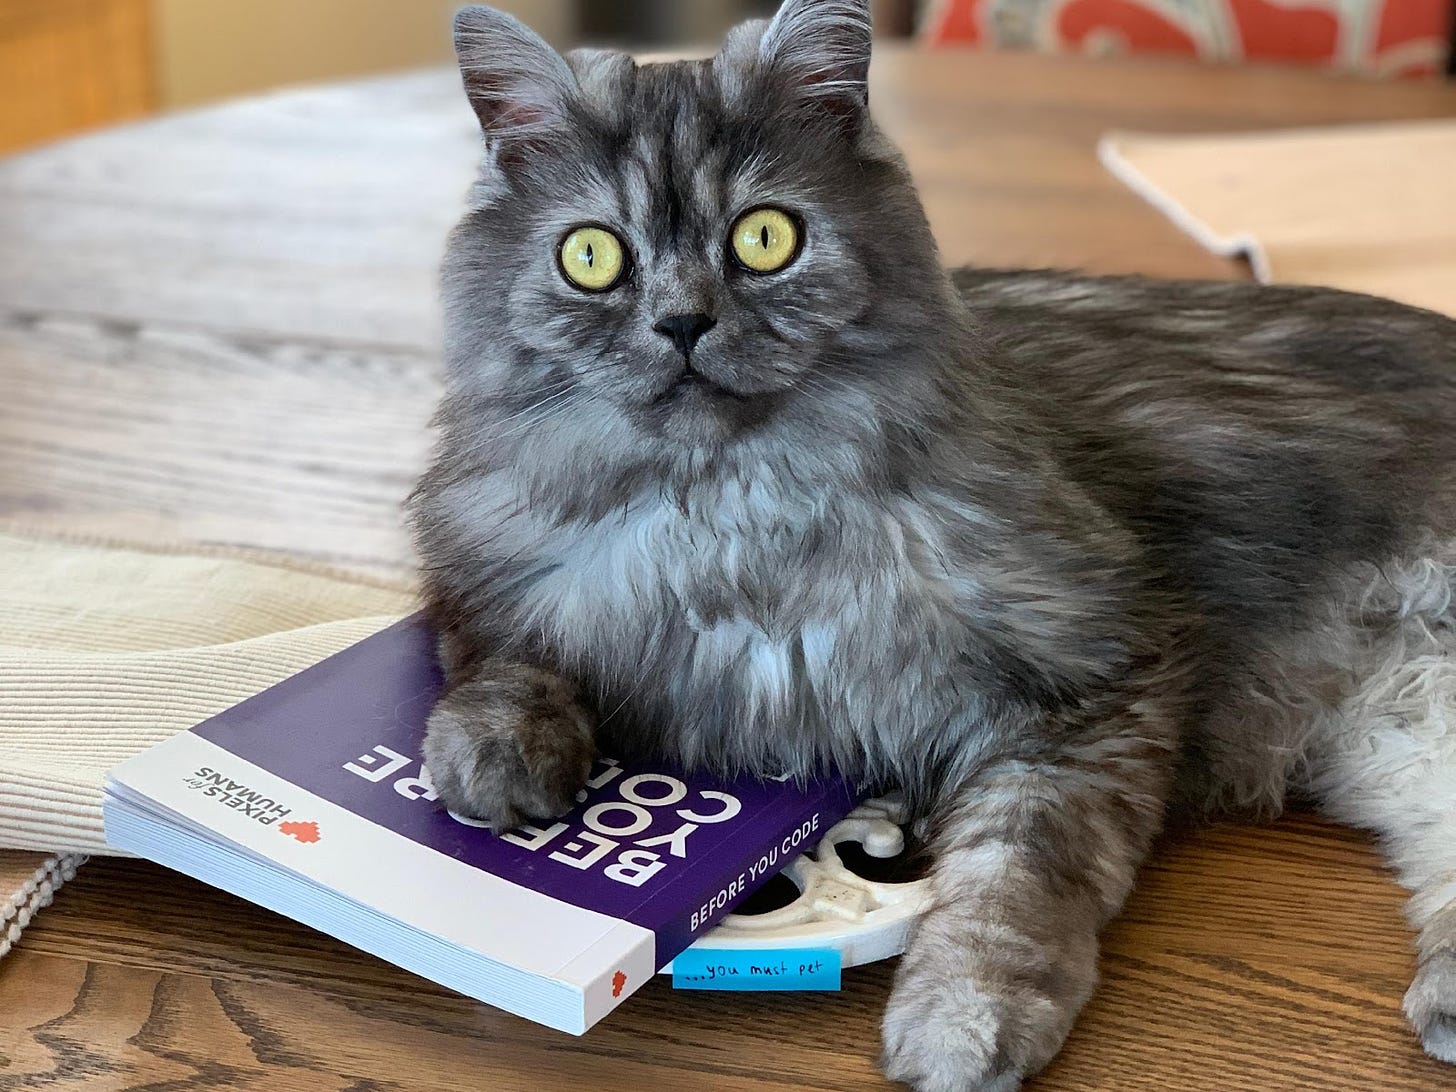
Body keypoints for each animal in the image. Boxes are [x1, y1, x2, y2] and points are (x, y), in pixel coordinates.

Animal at [410, 4, 1456, 1089]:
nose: (684, 322)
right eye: (591, 257)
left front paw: (963, 1024)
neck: (733, 524)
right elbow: (503, 660)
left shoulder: (1099, 676)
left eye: (764, 238)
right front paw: (496, 761)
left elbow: (1010, 884)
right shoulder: (480, 573)